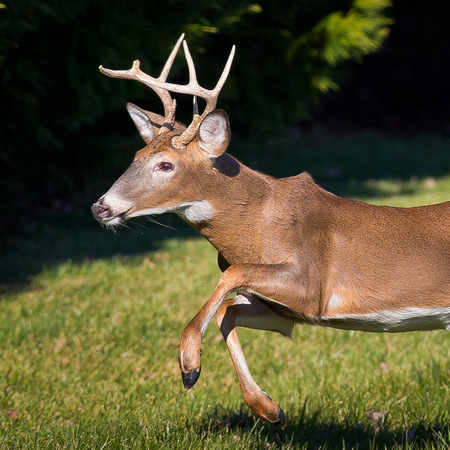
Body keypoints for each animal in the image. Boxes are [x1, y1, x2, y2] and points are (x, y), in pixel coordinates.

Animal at [91, 35, 450, 428]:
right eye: (136, 156)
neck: (257, 231)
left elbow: (233, 274)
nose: (101, 207)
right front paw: (270, 409)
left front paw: (189, 363)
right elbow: (227, 312)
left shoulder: (313, 286)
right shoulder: (288, 312)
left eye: (166, 165)